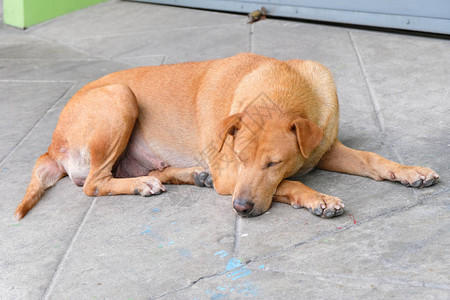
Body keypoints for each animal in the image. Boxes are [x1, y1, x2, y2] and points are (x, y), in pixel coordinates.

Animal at [14, 52, 440, 219]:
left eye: (273, 162)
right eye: (239, 157)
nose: (241, 208)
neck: (282, 88)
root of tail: (51, 145)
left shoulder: (324, 146)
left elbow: (373, 160)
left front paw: (411, 171)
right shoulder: (230, 176)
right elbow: (290, 184)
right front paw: (316, 197)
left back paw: (187, 174)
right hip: (120, 97)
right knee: (93, 184)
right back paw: (142, 185)